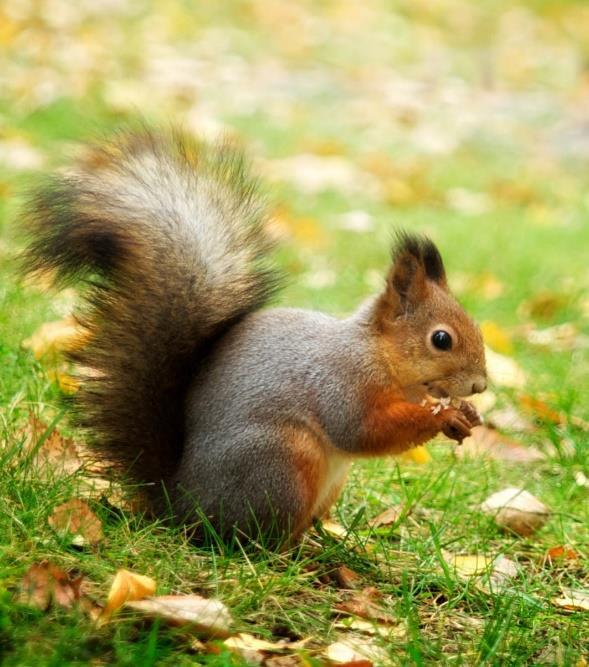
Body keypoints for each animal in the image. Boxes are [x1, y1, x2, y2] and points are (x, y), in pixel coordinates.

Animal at [23, 128, 484, 544]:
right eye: (441, 339)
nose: (480, 386)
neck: (380, 355)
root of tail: (181, 505)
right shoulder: (340, 382)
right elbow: (361, 430)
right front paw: (441, 416)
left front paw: (466, 414)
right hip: (280, 464)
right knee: (254, 538)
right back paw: (293, 552)